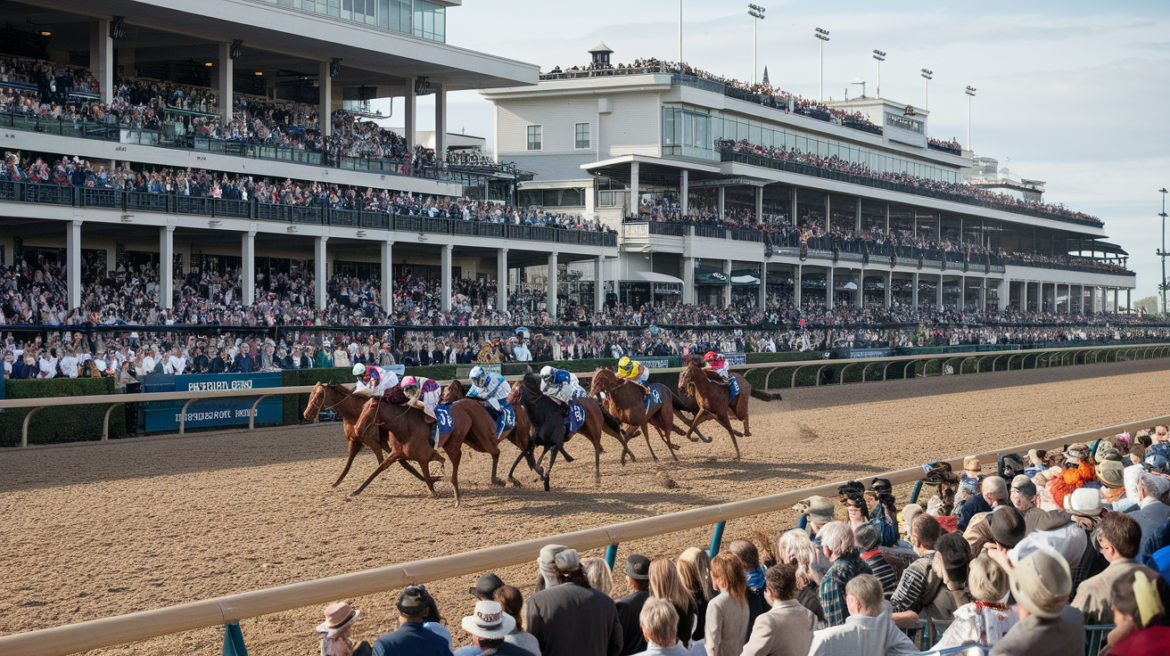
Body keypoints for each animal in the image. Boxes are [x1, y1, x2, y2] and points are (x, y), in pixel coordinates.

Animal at [351, 390, 507, 502]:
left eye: (372, 407)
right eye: (363, 407)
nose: (357, 429)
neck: (404, 426)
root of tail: (472, 402)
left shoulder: (424, 457)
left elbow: (427, 475)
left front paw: (434, 490)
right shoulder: (396, 453)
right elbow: (378, 469)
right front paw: (356, 491)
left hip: (476, 434)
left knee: (491, 452)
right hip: (472, 438)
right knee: (494, 452)